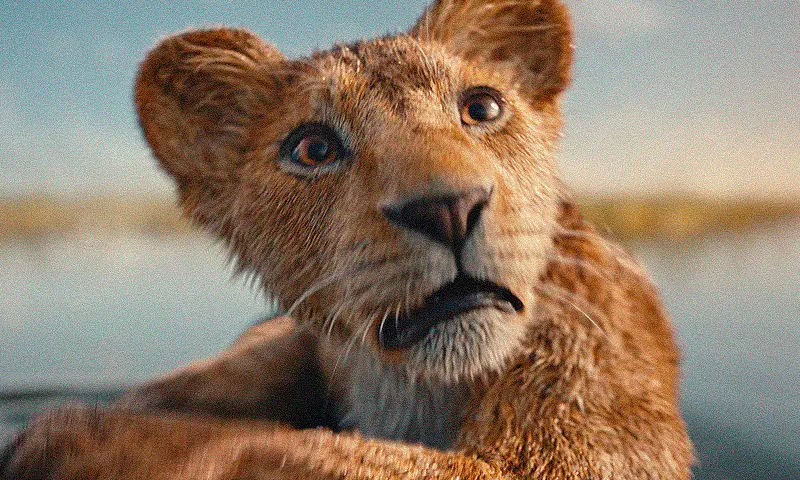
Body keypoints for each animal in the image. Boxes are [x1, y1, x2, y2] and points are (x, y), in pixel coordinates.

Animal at [1, 0, 693, 478]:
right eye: (313, 148)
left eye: (483, 108)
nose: (448, 208)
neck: (412, 388)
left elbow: (279, 449)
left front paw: (79, 437)